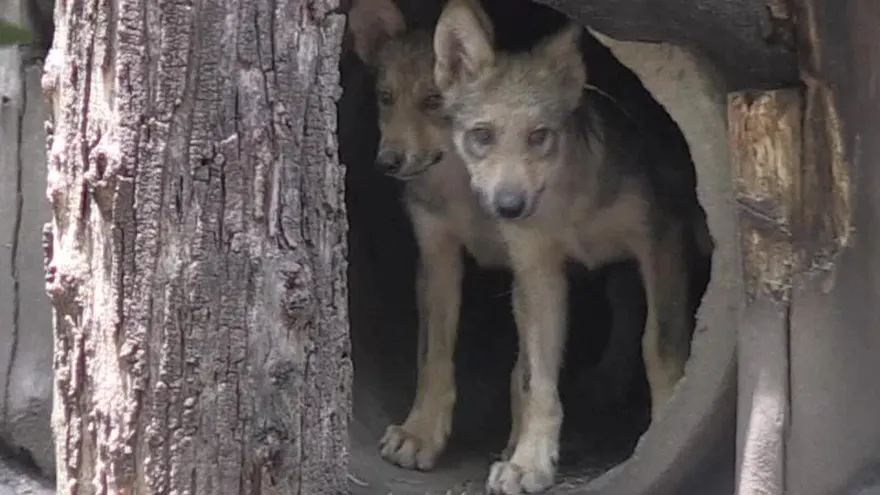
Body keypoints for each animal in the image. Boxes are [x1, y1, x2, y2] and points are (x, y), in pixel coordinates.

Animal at [433, 0, 713, 493]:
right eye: (482, 136)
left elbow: (659, 345)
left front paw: (663, 431)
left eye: (539, 135)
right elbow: (537, 380)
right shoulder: (538, 272)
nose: (509, 206)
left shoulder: (661, 243)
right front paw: (528, 461)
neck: (571, 206)